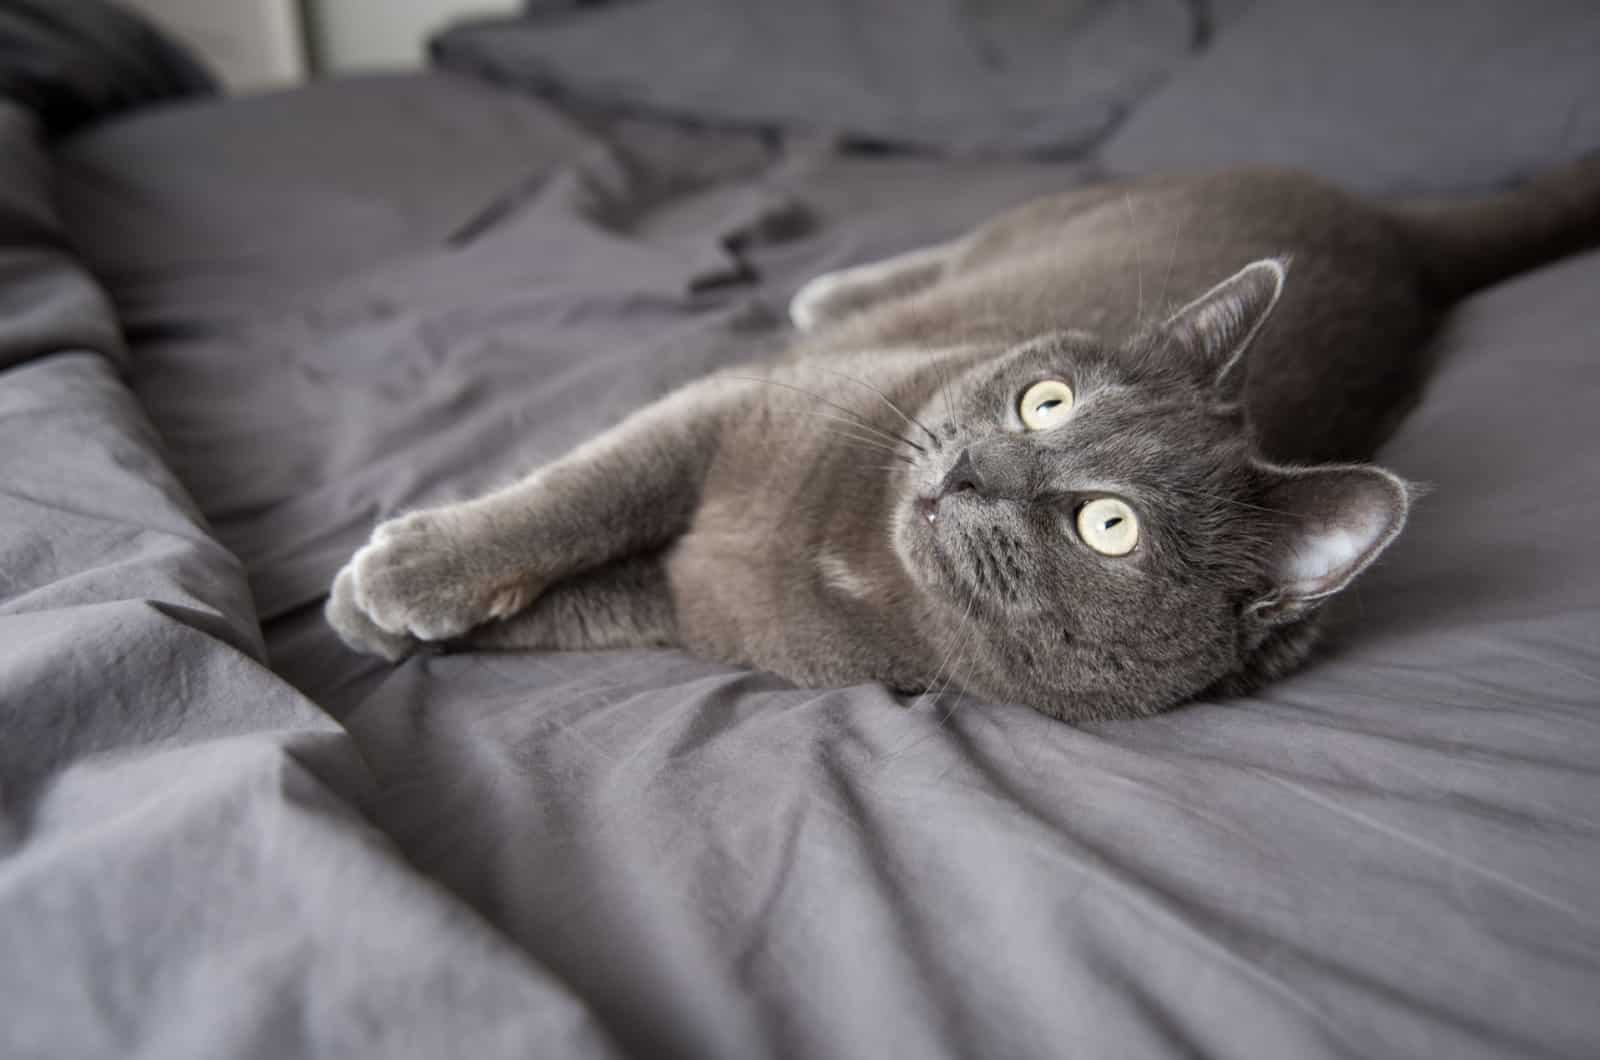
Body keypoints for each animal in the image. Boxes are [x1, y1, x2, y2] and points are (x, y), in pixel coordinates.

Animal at [324, 166, 1600, 726]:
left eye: (1107, 524)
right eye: (1044, 400)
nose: (976, 467)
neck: (854, 562)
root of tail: (1399, 242)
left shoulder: (690, 603)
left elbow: (570, 602)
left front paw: (383, 606)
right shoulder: (727, 410)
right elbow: (580, 492)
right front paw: (400, 581)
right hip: (1052, 218)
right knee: (951, 251)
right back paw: (829, 290)